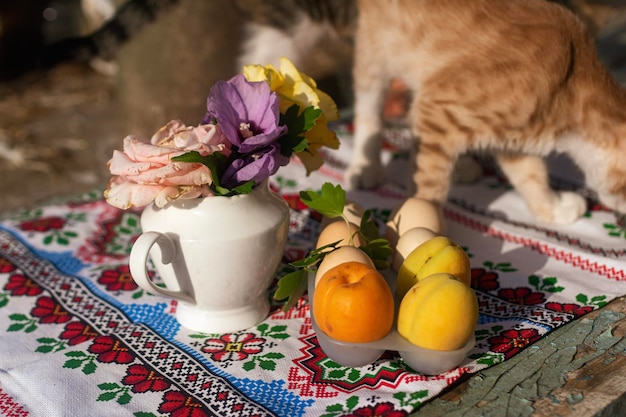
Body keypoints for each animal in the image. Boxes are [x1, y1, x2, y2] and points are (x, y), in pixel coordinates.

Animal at [346, 0, 624, 224]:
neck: (568, 83)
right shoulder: (437, 106)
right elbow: (428, 182)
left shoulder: (513, 139)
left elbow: (531, 173)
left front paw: (551, 207)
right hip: (375, 49)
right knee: (369, 108)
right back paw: (365, 166)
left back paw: (460, 166)